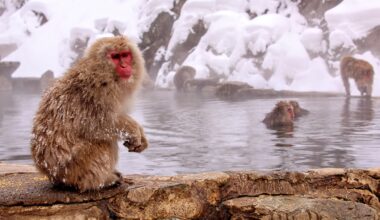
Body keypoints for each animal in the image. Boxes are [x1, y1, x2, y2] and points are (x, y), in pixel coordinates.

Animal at [30, 35, 148, 192]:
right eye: (115, 57)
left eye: (125, 55)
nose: (124, 66)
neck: (103, 74)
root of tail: (50, 175)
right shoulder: (96, 94)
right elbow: (98, 124)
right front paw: (134, 132)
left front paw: (141, 136)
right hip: (74, 166)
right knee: (103, 141)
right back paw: (101, 181)